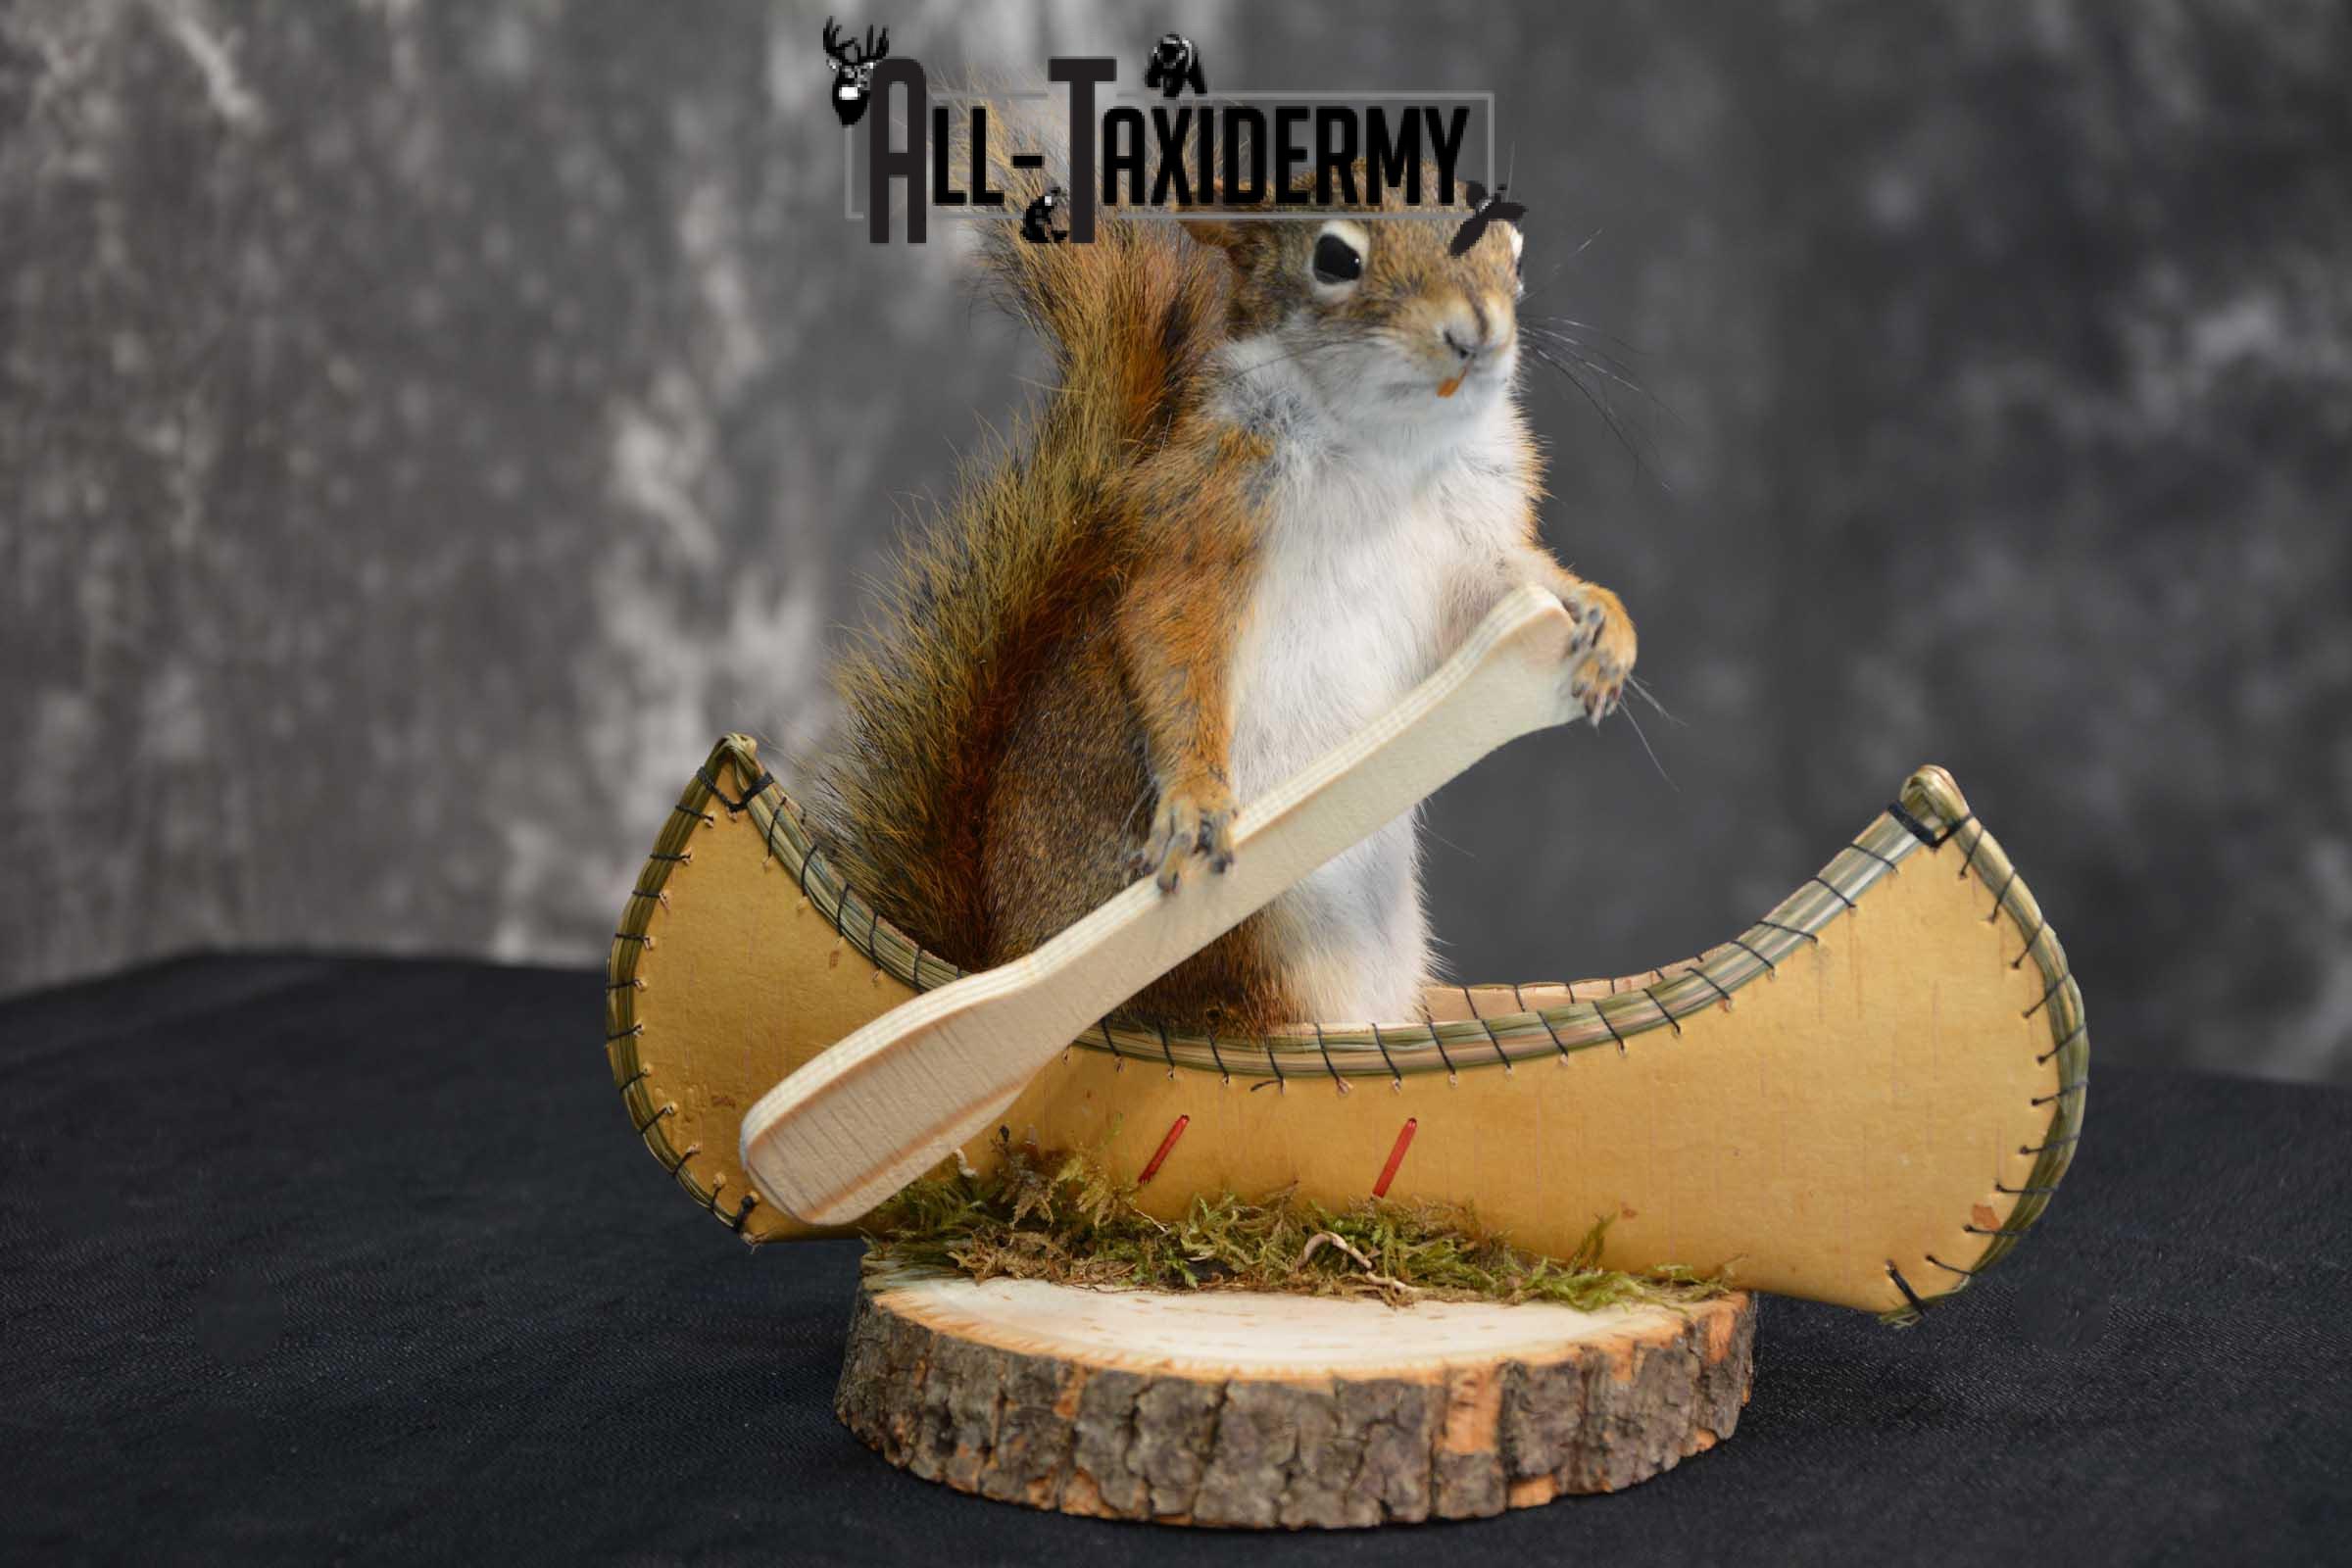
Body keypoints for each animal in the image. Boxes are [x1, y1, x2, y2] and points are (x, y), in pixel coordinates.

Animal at [809, 137, 1636, 1037]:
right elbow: (1172, 637)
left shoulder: (1472, 540)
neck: (1388, 445)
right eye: (1336, 258)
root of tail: (995, 954)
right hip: (1252, 950)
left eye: (1513, 252)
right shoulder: (1207, 515)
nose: (1475, 333)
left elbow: (1510, 586)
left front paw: (1604, 623)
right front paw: (1195, 799)